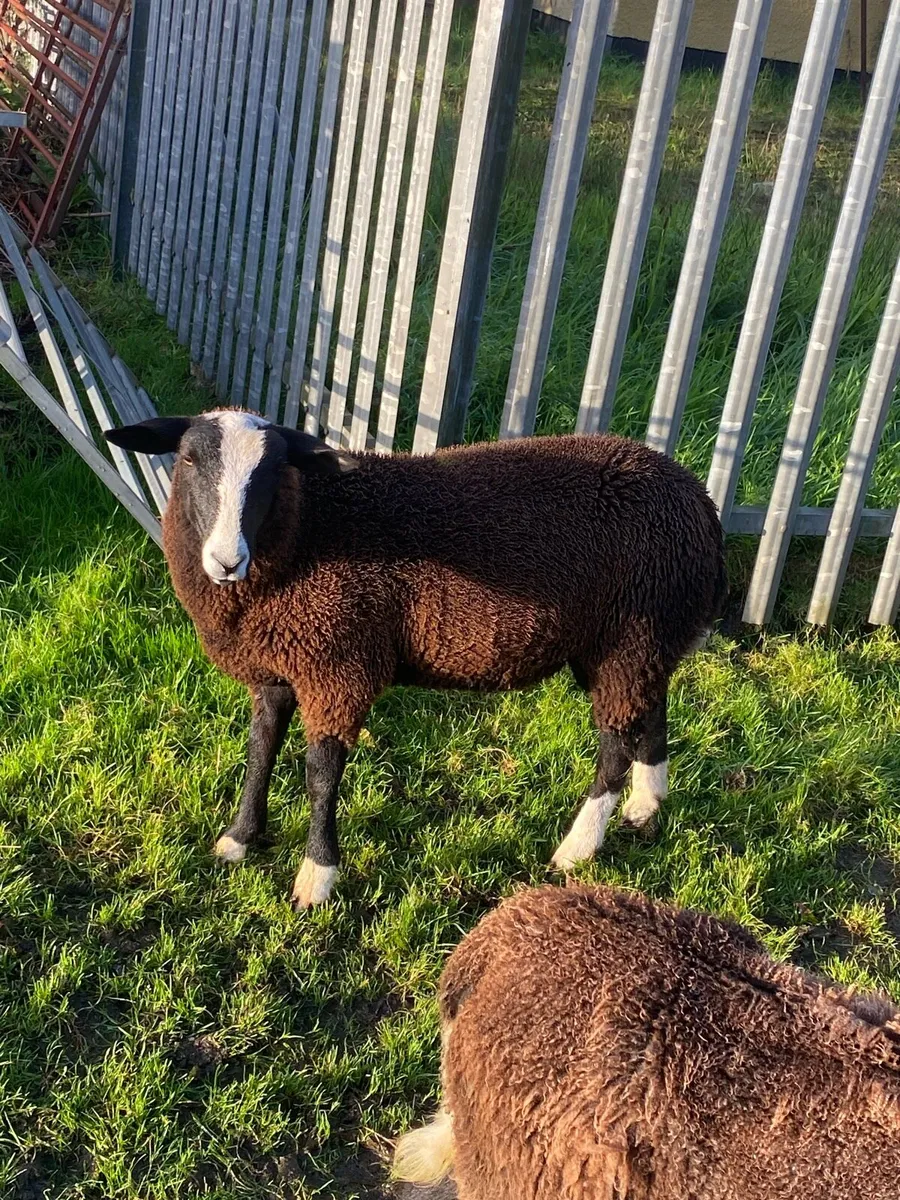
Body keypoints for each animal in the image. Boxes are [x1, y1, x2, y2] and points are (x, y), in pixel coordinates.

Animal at [105, 410, 725, 909]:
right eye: (188, 458)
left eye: (276, 470)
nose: (226, 560)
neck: (309, 531)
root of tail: (699, 500)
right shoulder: (279, 666)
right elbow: (260, 750)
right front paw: (239, 839)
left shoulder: (338, 663)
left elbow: (321, 774)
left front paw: (316, 878)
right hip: (641, 633)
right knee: (652, 706)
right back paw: (647, 804)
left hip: (631, 633)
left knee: (615, 741)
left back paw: (577, 847)